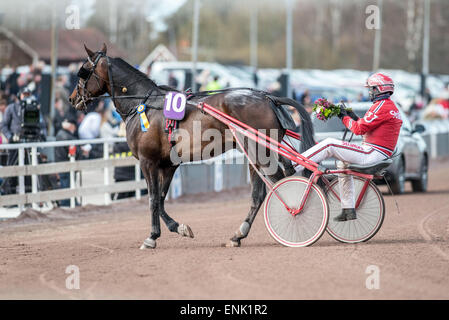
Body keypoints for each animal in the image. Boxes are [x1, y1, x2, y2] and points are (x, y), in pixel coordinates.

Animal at [70, 44, 316, 250]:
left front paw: (151, 237)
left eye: (83, 71)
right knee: (261, 193)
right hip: (258, 153)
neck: (144, 105)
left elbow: (152, 200)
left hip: (258, 152)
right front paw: (178, 228)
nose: (73, 99)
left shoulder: (148, 162)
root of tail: (269, 98)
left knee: (279, 185)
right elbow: (161, 200)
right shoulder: (168, 164)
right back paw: (238, 235)